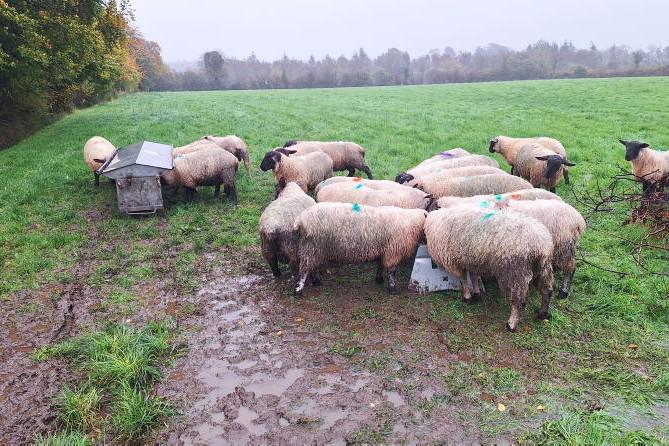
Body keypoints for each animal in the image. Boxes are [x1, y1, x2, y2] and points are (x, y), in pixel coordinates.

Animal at [293, 203, 427, 296]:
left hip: (314, 248)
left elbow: (380, 265)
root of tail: (300, 219)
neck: (412, 223)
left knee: (311, 266)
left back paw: (316, 281)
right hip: (312, 246)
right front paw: (393, 288)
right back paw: (298, 290)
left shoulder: (383, 249)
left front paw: (379, 279)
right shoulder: (393, 251)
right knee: (304, 269)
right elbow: (392, 272)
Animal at [425, 206, 554, 331]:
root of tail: (541, 245)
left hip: (515, 270)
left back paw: (511, 324)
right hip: (543, 267)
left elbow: (463, 279)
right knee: (546, 290)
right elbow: (474, 276)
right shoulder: (474, 259)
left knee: (518, 301)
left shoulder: (454, 261)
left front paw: (467, 297)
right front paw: (476, 293)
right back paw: (542, 313)